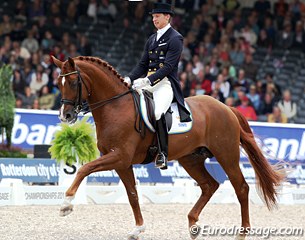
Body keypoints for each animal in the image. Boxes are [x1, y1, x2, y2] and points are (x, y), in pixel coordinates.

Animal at [51, 55, 282, 239]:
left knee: (241, 187)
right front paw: (138, 229)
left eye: (73, 82)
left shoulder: (120, 157)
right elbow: (132, 194)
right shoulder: (121, 163)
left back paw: (242, 232)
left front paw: (66, 204)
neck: (116, 107)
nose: (65, 115)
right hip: (191, 159)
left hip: (226, 154)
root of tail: (226, 107)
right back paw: (193, 224)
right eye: (58, 83)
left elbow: (84, 168)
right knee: (209, 185)